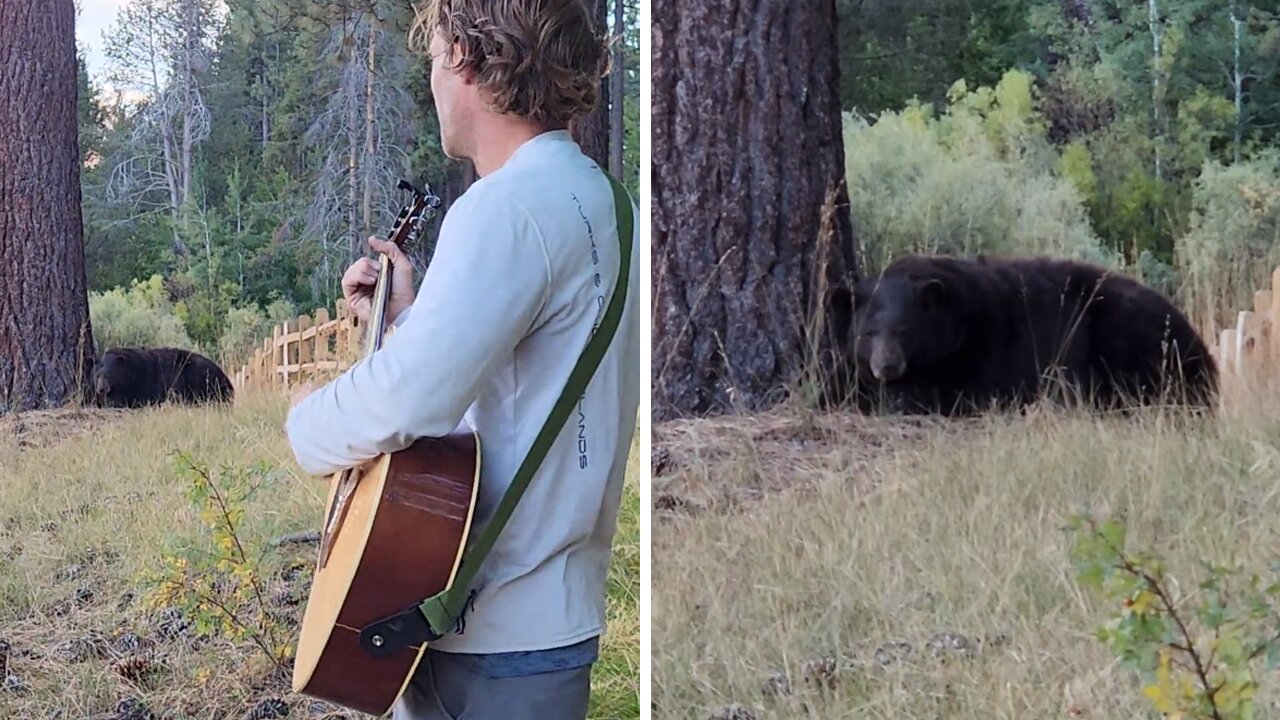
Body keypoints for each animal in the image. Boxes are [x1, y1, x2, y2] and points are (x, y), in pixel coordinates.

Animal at [829, 253, 1218, 415]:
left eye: (904, 330)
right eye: (868, 333)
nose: (886, 366)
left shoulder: (982, 354)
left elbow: (945, 395)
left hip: (1128, 330)